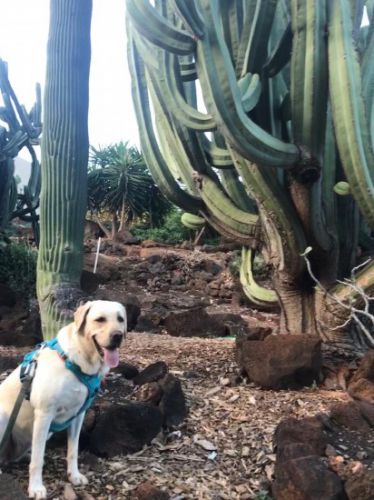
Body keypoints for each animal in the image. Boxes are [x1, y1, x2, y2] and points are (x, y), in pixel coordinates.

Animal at [0, 298, 126, 498]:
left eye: (120, 319)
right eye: (100, 319)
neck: (76, 361)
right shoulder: (44, 414)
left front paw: (74, 475)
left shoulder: (78, 415)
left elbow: (73, 450)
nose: (118, 336)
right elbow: (38, 460)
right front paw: (36, 487)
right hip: (4, 417)